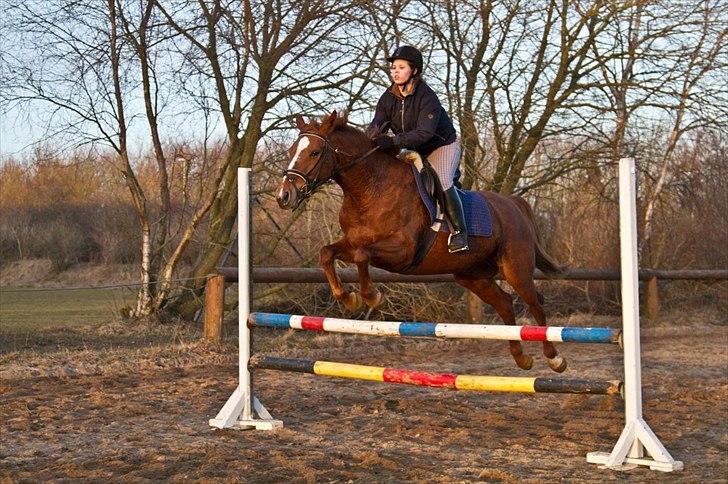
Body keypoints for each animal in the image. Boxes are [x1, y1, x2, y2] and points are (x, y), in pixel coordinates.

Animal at [276, 111, 564, 372]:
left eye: (315, 153)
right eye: (291, 150)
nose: (283, 196)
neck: (369, 189)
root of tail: (514, 204)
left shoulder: (403, 252)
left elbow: (361, 256)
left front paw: (370, 296)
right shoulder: (352, 241)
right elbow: (328, 253)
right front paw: (349, 299)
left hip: (515, 269)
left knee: (535, 302)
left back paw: (554, 358)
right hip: (472, 275)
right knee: (505, 303)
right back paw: (521, 358)